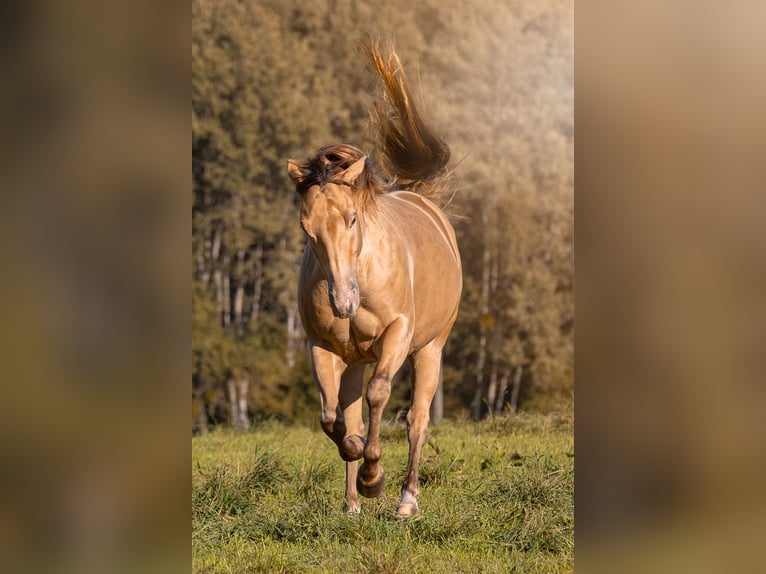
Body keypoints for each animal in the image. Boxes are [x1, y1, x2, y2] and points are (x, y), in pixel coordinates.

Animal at [287, 42, 462, 518]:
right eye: (306, 228)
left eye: (351, 218)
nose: (342, 303)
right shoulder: (322, 347)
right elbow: (334, 418)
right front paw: (356, 456)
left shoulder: (398, 335)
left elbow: (380, 395)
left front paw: (373, 477)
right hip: (353, 359)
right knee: (348, 410)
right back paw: (351, 504)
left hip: (429, 349)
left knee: (418, 420)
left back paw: (405, 499)